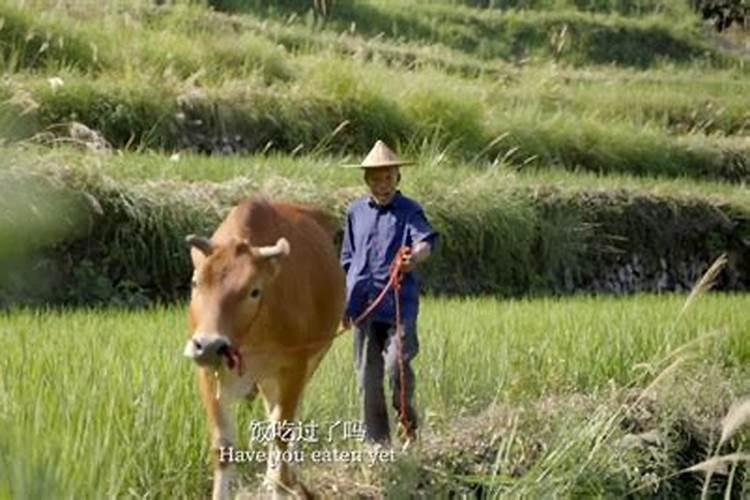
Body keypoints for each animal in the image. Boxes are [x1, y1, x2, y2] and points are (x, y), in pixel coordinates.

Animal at [185, 197, 346, 498]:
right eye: (195, 282)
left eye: (254, 291)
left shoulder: (294, 367)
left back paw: (284, 476)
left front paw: (280, 485)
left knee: (288, 420)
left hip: (310, 361)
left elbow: (283, 431)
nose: (209, 345)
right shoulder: (209, 375)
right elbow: (223, 447)